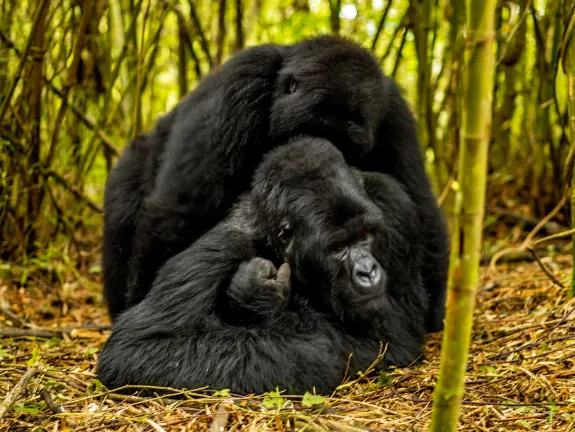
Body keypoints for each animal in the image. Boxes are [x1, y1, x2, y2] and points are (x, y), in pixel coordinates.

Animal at [97, 138, 430, 394]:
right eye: (338, 247)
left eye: (365, 235)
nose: (367, 271)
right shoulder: (225, 243)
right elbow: (137, 349)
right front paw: (311, 354)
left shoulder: (394, 205)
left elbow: (394, 335)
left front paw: (262, 301)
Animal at [101, 35, 448, 332]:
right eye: (307, 132)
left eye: (345, 149)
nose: (317, 159)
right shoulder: (242, 82)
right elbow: (180, 209)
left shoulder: (392, 110)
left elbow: (417, 201)